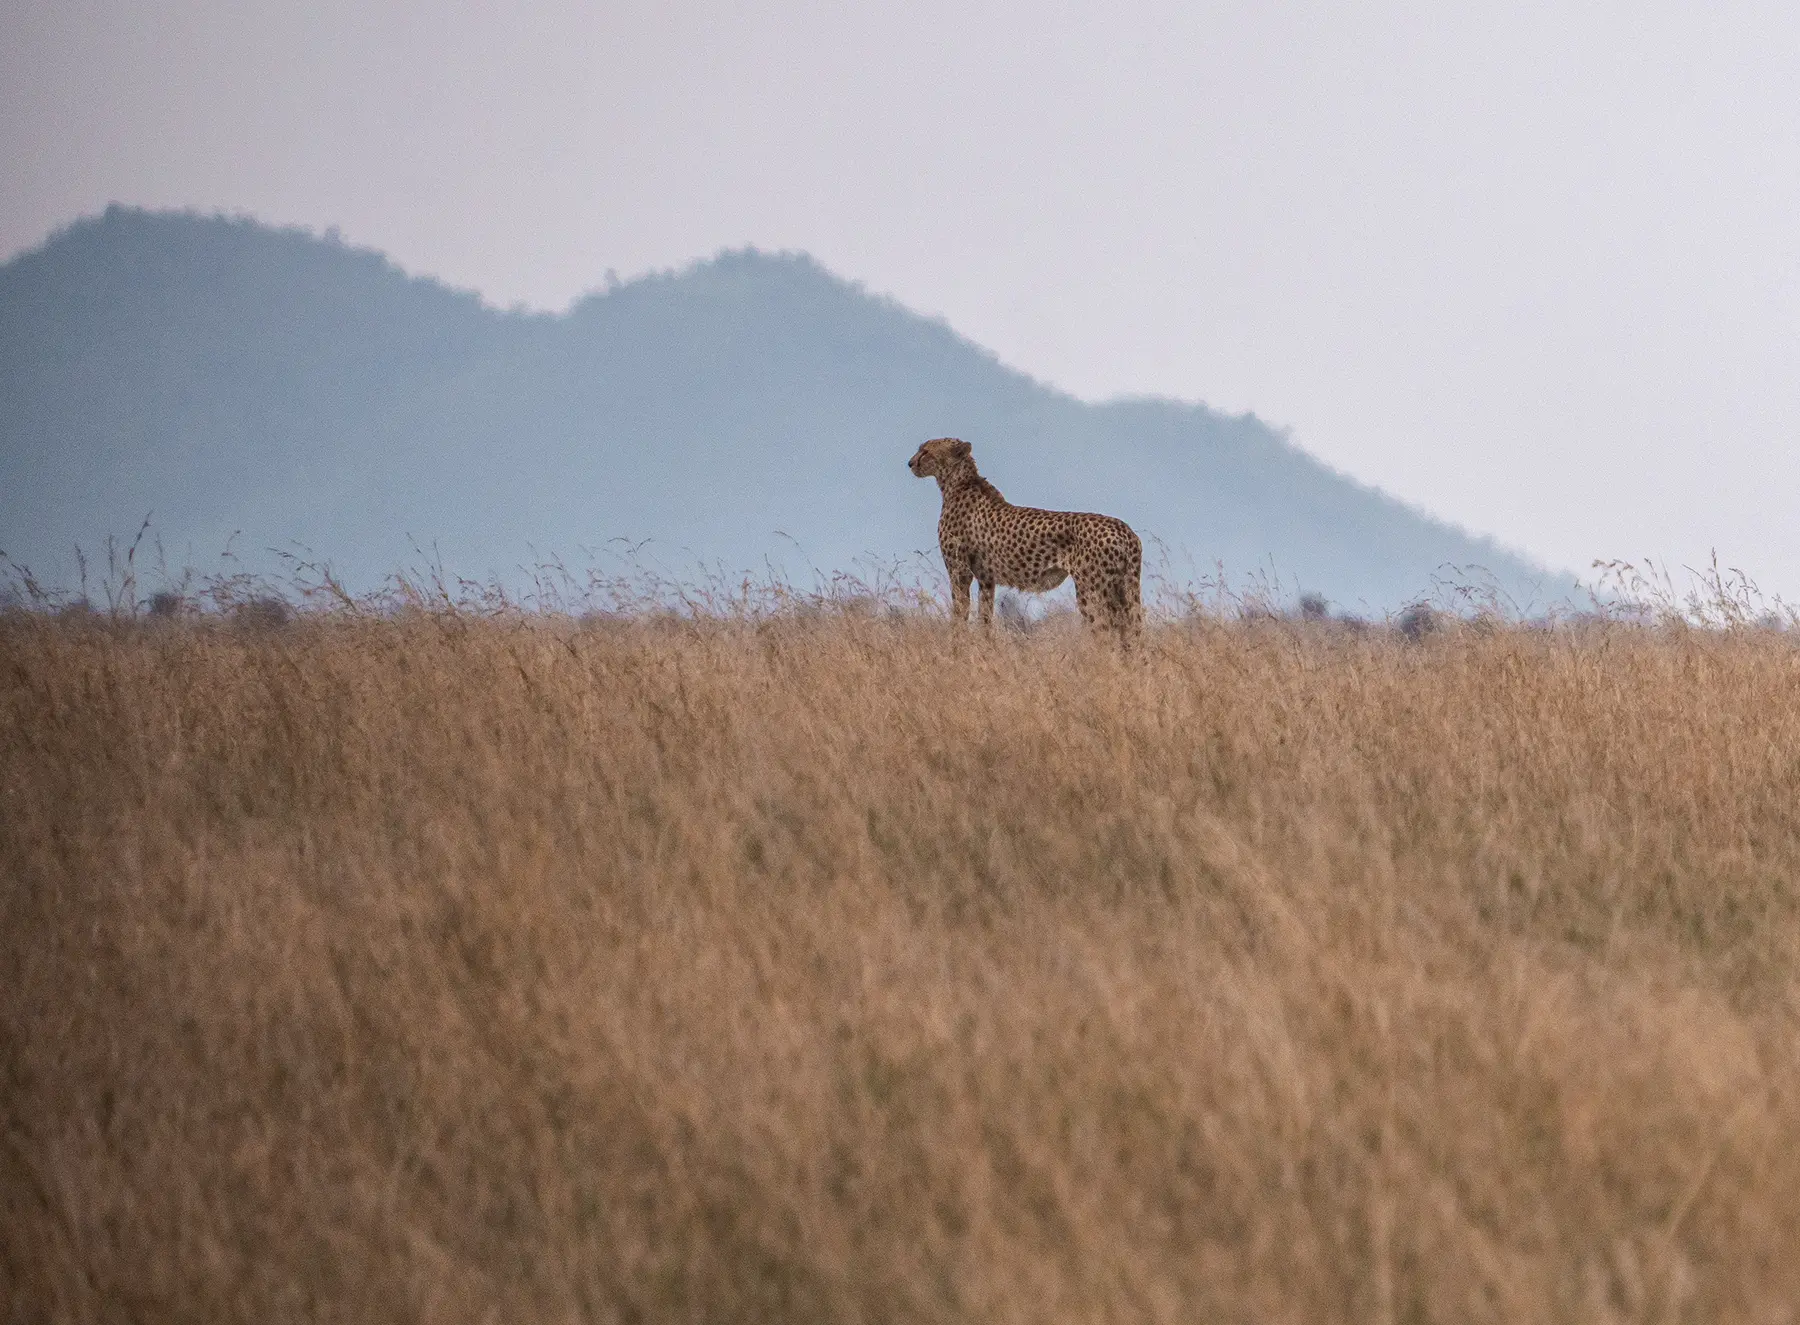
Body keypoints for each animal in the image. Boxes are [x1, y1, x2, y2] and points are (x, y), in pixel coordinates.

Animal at [908, 437, 1143, 641]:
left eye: (925, 451)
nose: (910, 463)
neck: (958, 483)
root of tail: (1126, 530)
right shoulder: (986, 578)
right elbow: (985, 616)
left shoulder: (960, 571)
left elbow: (959, 611)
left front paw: (956, 643)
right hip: (1121, 590)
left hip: (1093, 591)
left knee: (1106, 631)